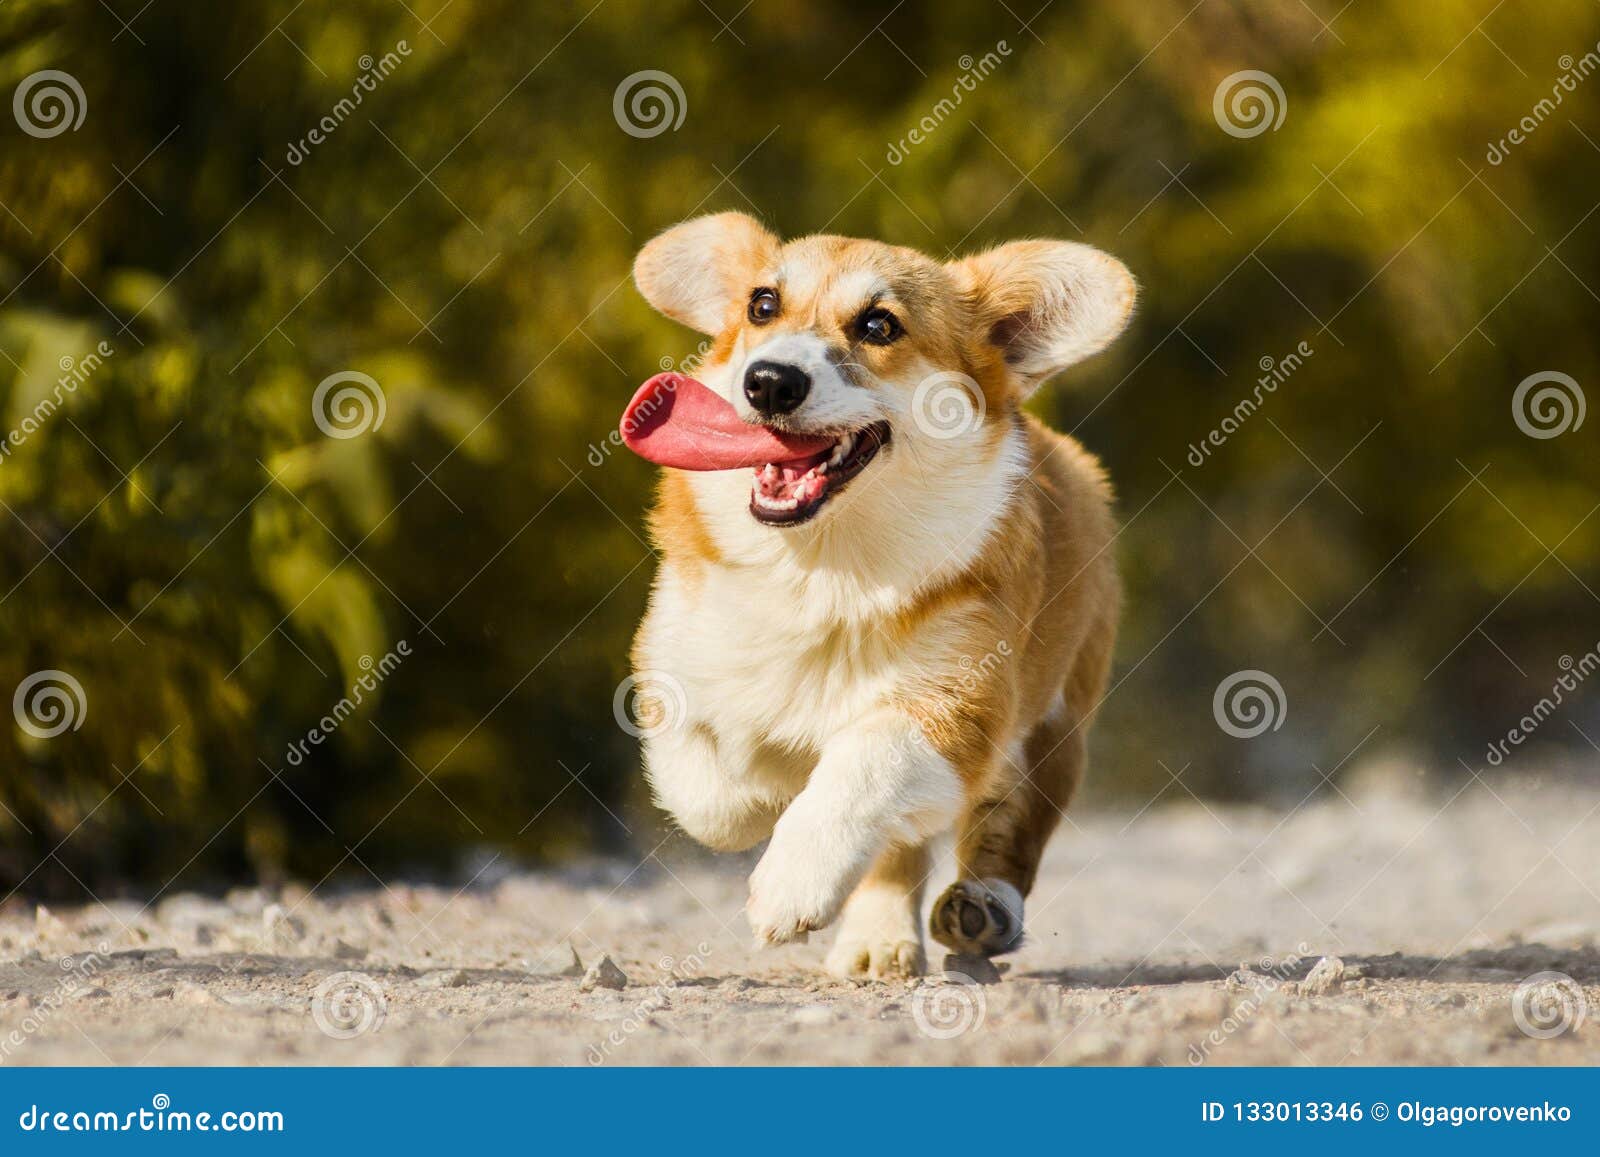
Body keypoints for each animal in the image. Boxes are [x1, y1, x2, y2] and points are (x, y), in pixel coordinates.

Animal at [617, 214, 1132, 979]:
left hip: (1053, 726)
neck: (823, 565)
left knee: (1005, 828)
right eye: (762, 305)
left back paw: (980, 908)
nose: (769, 381)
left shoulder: (956, 705)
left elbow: (862, 764)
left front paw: (790, 881)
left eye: (879, 325)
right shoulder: (669, 660)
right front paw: (759, 797)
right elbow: (705, 790)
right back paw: (876, 937)